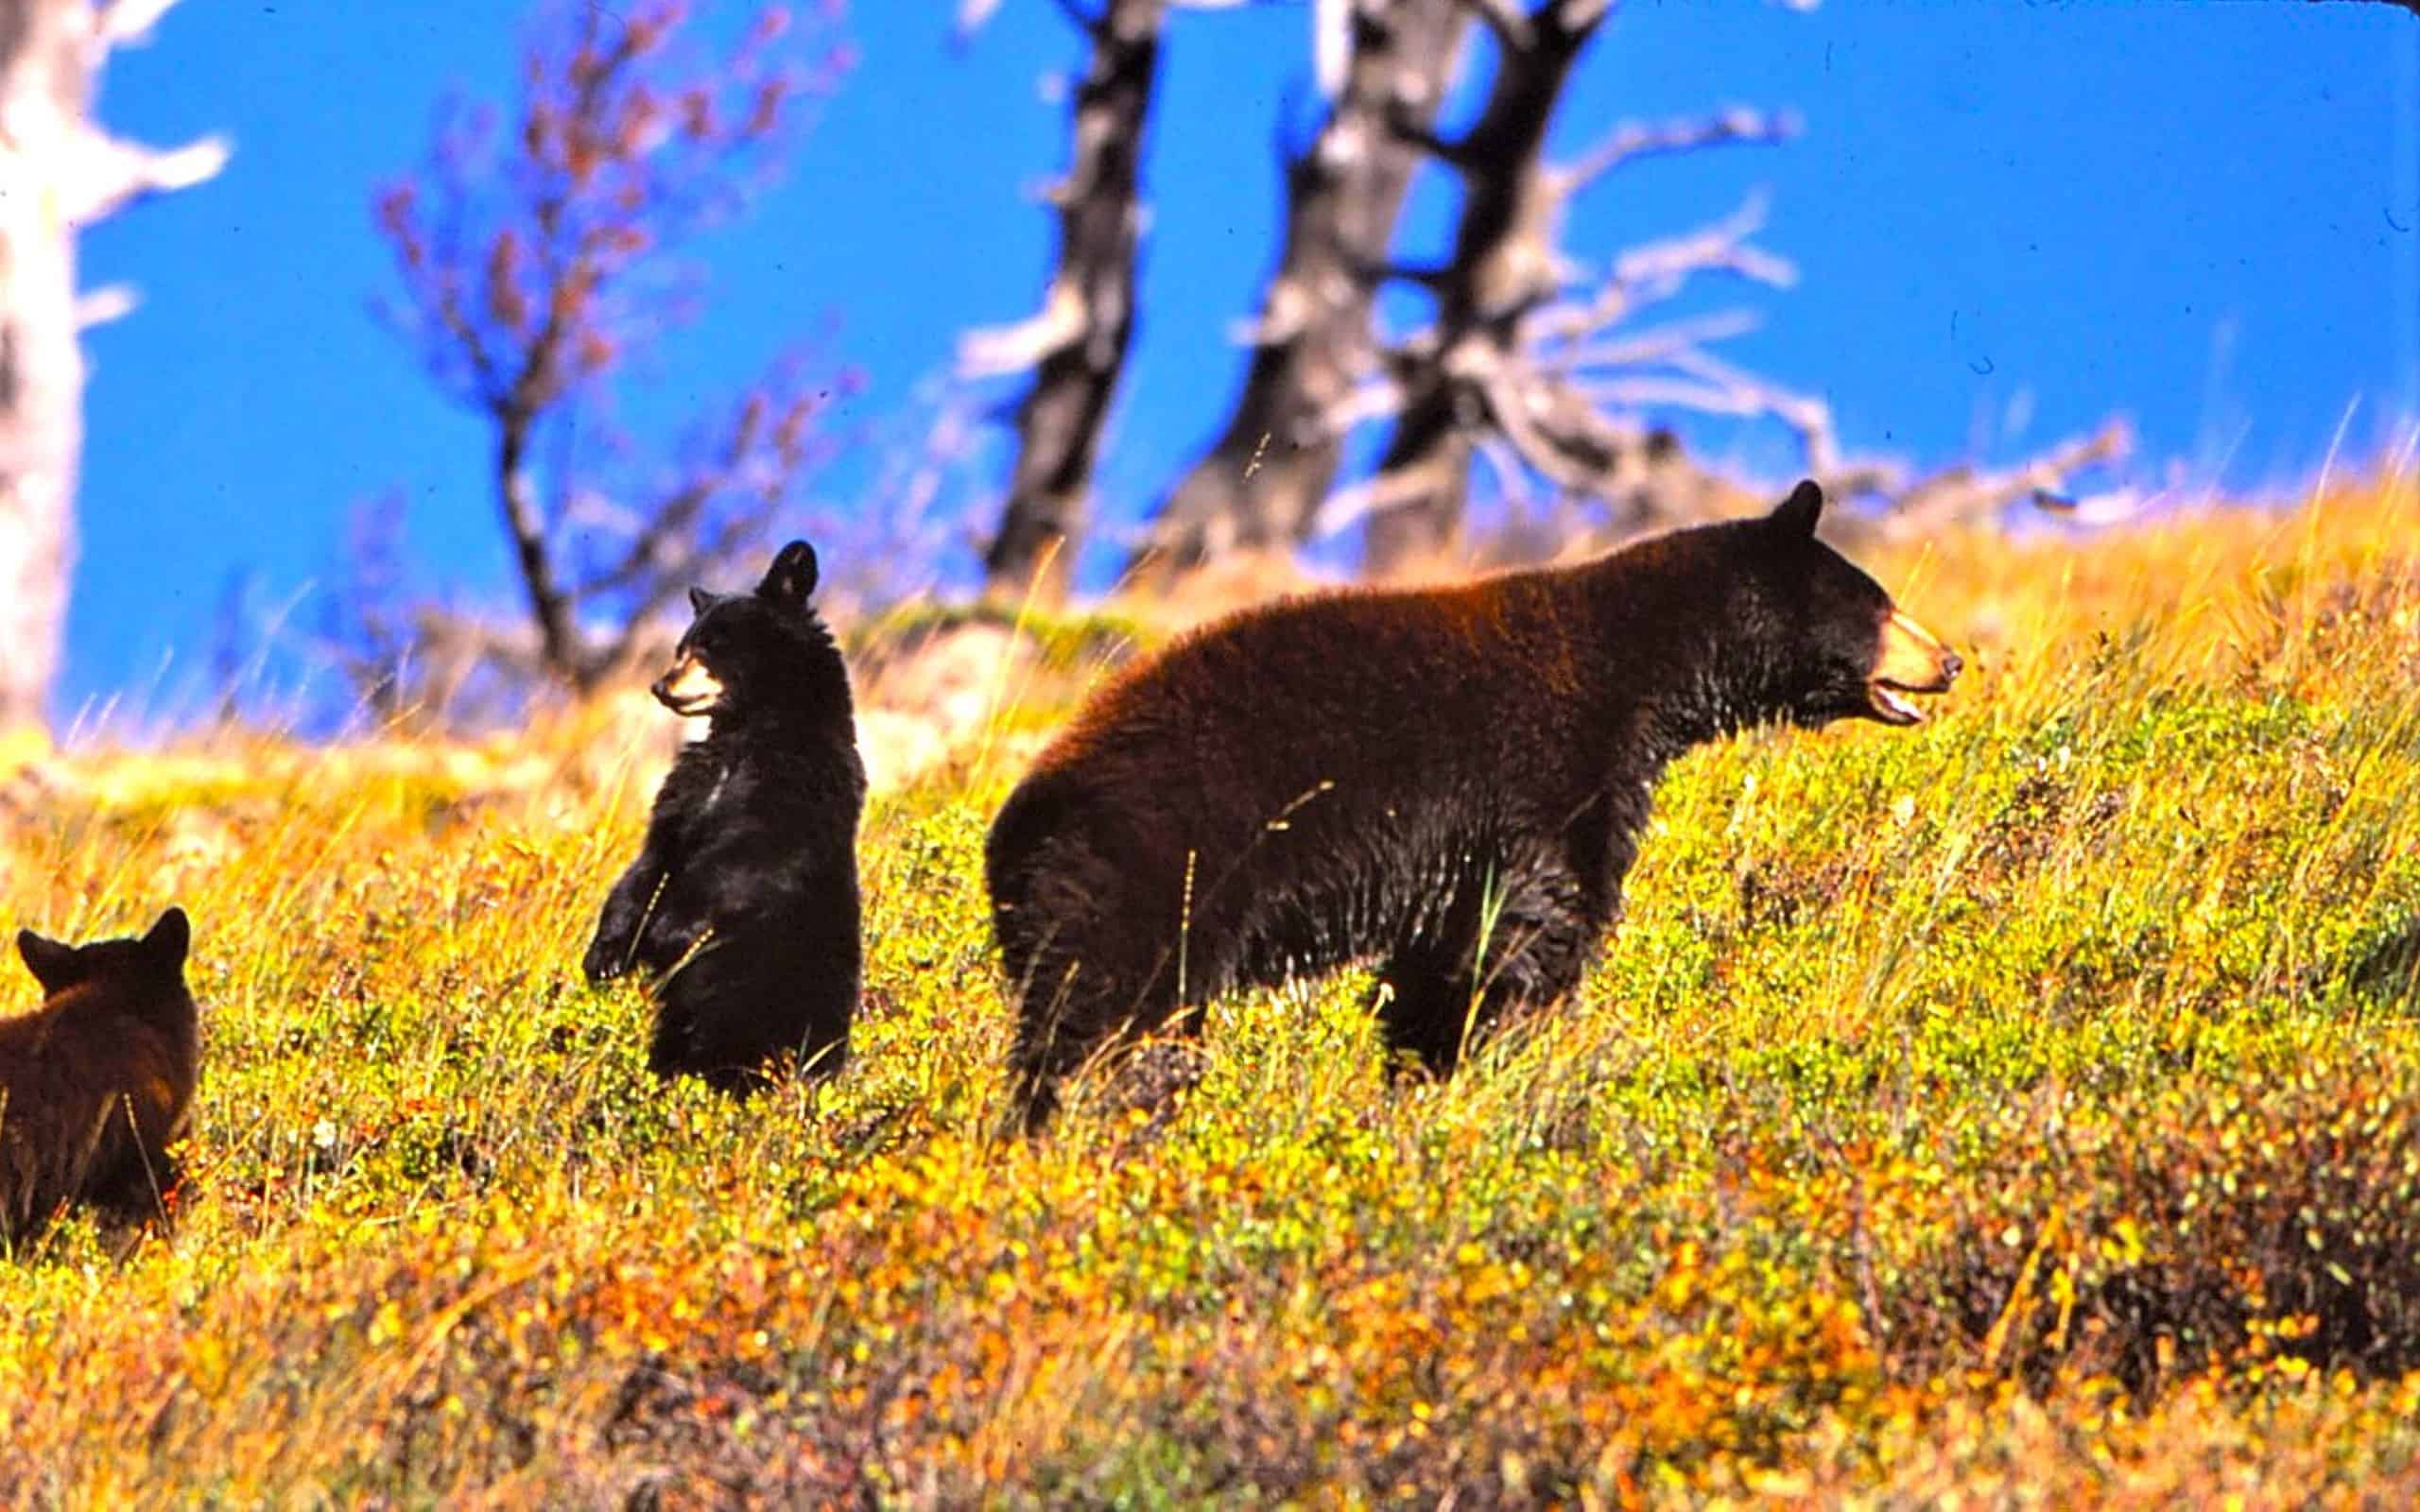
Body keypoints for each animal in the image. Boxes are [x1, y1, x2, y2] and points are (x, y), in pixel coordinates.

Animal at [583, 540, 867, 1092]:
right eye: (681, 647)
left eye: (712, 645)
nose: (660, 685)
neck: (748, 732)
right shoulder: (684, 793)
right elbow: (649, 861)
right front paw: (605, 954)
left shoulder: (798, 791)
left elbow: (741, 858)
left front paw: (668, 931)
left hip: (767, 996)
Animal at [986, 480, 1961, 1128]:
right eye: (1880, 603)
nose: (1950, 660)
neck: (1640, 669)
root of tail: (1018, 827)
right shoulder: (1547, 777)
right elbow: (1530, 930)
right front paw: (1497, 1056)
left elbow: (1441, 964)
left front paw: (1421, 1072)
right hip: (1150, 877)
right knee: (1108, 1021)